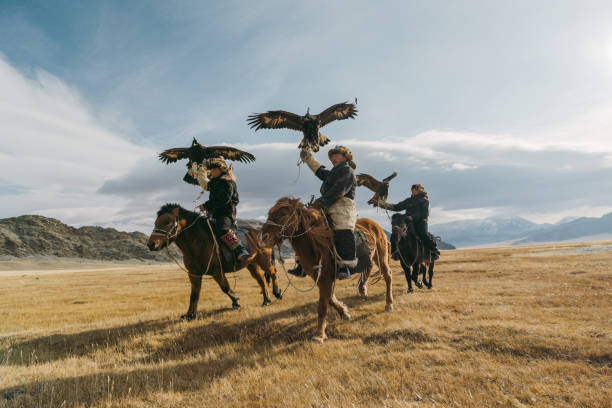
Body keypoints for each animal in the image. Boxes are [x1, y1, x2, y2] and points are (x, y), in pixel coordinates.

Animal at [147, 202, 284, 320]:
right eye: (156, 222)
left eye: (167, 222)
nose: (151, 244)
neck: (198, 242)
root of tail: (262, 233)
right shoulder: (194, 274)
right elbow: (194, 294)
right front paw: (190, 315)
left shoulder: (216, 271)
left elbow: (225, 287)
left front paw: (236, 301)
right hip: (252, 264)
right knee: (261, 279)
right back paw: (266, 300)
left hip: (264, 260)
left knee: (272, 272)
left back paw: (277, 293)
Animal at [258, 196, 392, 342]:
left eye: (283, 214)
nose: (263, 238)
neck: (315, 242)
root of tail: (374, 225)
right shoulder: (319, 277)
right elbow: (330, 299)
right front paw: (344, 314)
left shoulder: (327, 277)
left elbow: (322, 304)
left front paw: (319, 335)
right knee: (368, 268)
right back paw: (362, 290)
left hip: (381, 255)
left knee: (388, 275)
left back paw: (388, 304)